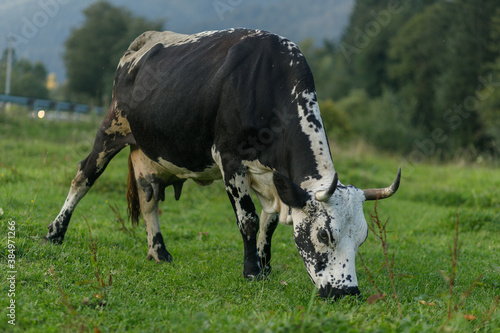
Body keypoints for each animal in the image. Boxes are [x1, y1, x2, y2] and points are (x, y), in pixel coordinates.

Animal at [45, 28, 400, 298]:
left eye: (362, 238)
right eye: (325, 235)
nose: (347, 292)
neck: (268, 81)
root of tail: (146, 40)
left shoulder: (272, 177)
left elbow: (269, 223)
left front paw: (265, 266)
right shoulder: (230, 159)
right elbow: (249, 220)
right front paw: (252, 271)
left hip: (147, 152)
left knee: (148, 200)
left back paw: (158, 252)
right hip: (112, 127)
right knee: (83, 175)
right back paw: (55, 232)